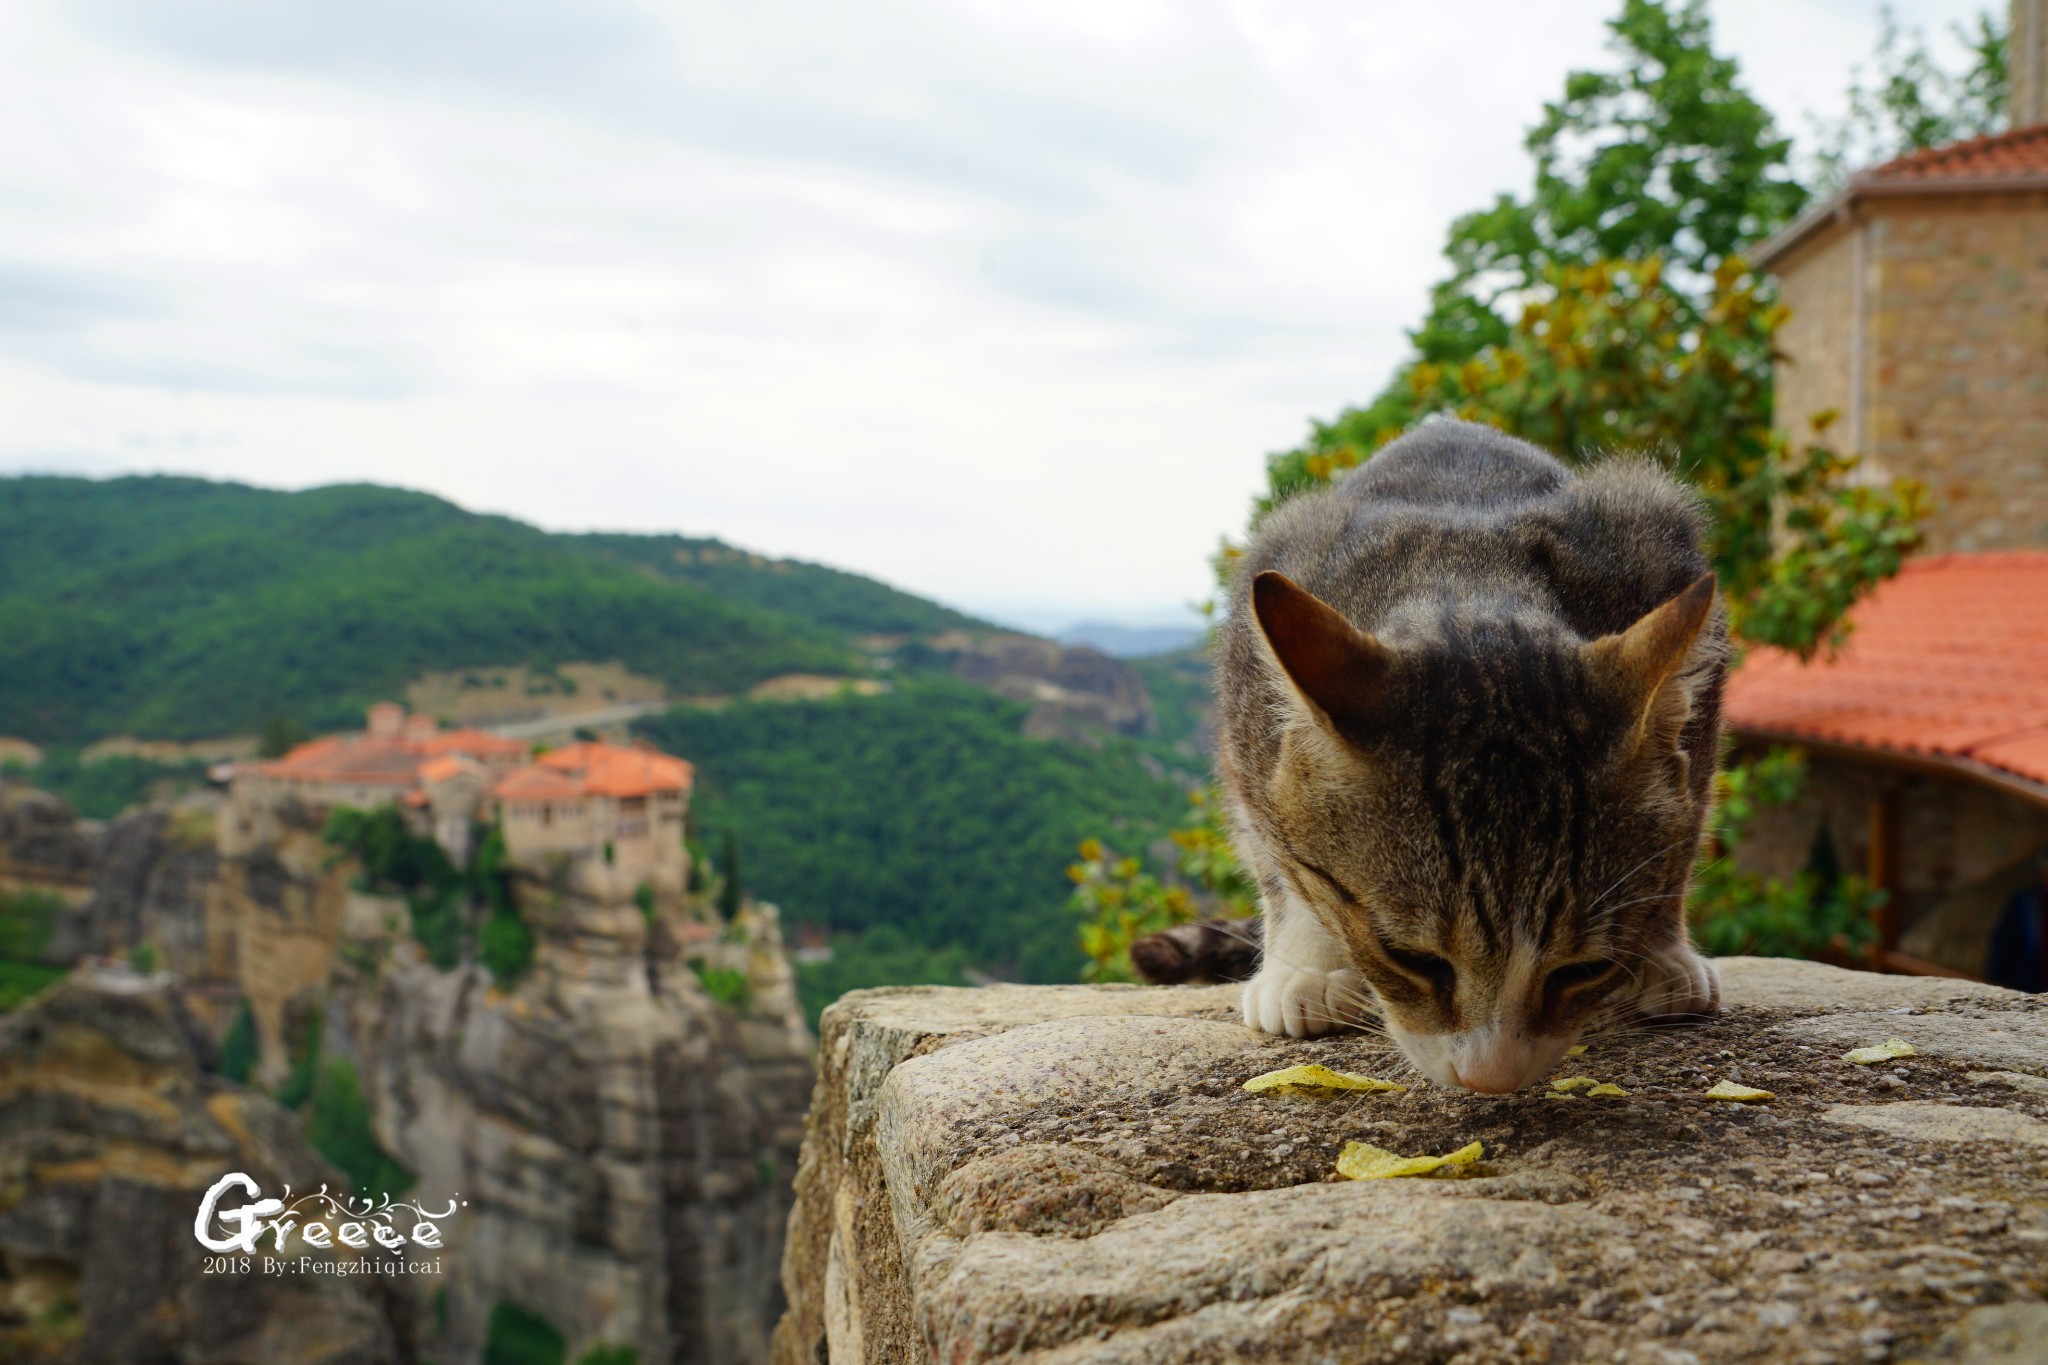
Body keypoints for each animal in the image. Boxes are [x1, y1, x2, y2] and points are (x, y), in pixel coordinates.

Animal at [1212, 417, 1728, 1088]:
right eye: (1408, 958)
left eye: (1583, 969)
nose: (1492, 1076)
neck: (1469, 573)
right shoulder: (1245, 726)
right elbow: (1278, 857)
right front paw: (1306, 968)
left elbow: (1680, 841)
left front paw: (1659, 952)